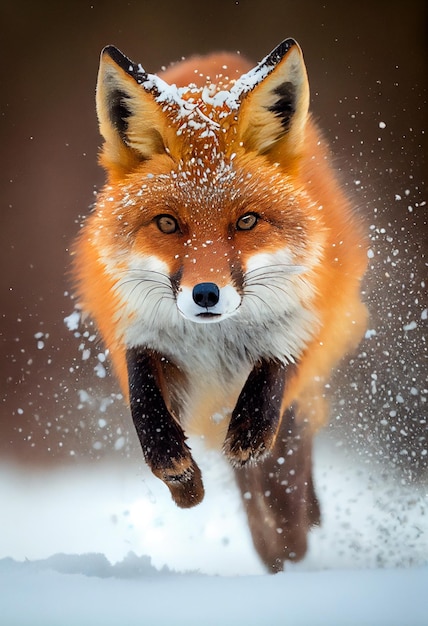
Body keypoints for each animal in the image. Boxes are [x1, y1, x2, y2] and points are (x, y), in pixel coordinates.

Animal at [72, 39, 368, 572]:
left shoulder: (308, 320)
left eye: (246, 221)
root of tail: (216, 59)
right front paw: (182, 482)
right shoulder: (137, 329)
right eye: (168, 224)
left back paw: (292, 531)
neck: (215, 342)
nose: (205, 294)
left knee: (288, 455)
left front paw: (249, 440)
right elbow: (147, 410)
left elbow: (272, 383)